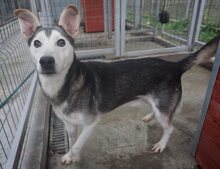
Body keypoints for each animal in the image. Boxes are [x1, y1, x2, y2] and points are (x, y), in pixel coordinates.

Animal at [14, 4, 219, 165]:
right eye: (37, 43)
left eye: (61, 42)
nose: (46, 61)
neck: (64, 85)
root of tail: (175, 65)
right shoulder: (69, 124)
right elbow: (73, 141)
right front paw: (71, 156)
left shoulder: (91, 123)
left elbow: (79, 143)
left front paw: (74, 155)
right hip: (155, 102)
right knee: (158, 112)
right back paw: (148, 116)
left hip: (163, 108)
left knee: (169, 127)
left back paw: (161, 144)